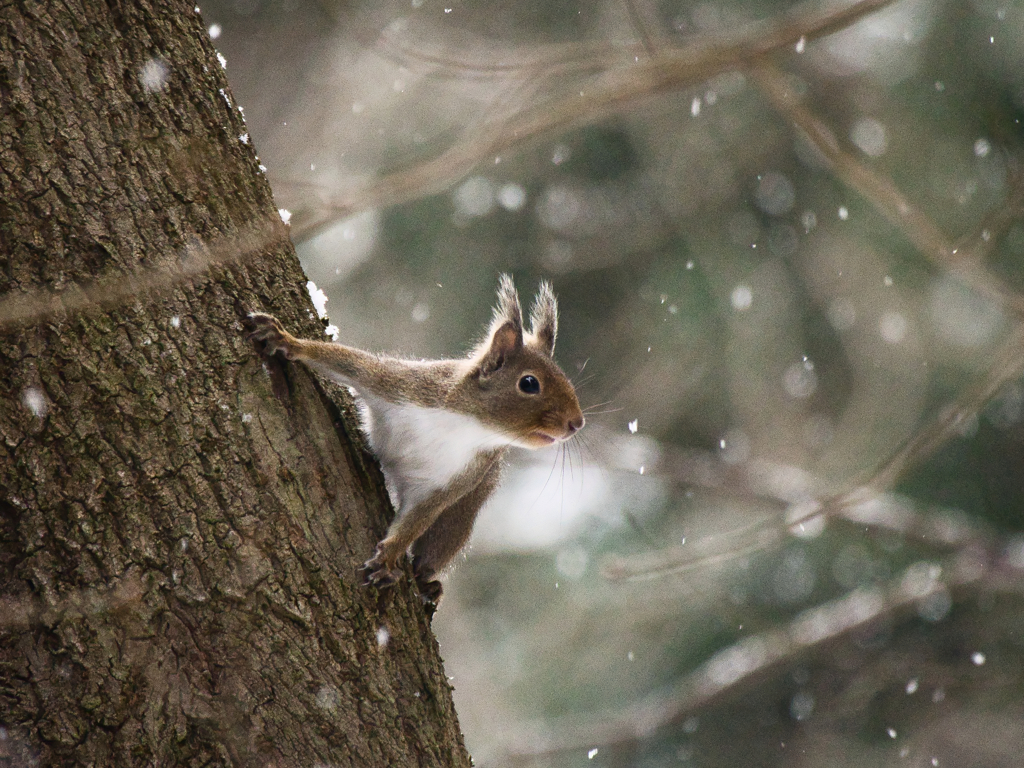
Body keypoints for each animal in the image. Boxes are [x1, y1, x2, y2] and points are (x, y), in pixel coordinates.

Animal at [247, 276, 585, 606]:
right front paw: (287, 341)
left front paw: (389, 557)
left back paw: (427, 583)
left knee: (439, 543)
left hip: (465, 509)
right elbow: (350, 363)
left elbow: (418, 518)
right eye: (529, 383)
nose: (577, 423)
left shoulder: (456, 479)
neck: (468, 425)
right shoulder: (401, 385)